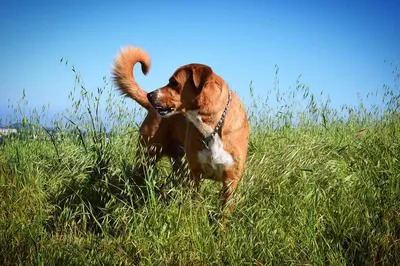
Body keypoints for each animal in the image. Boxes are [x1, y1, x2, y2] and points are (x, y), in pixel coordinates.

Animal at [112, 45, 248, 210]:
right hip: (146, 157)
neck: (214, 126)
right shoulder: (194, 175)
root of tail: (151, 108)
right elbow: (195, 204)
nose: (150, 95)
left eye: (173, 82)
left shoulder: (230, 181)